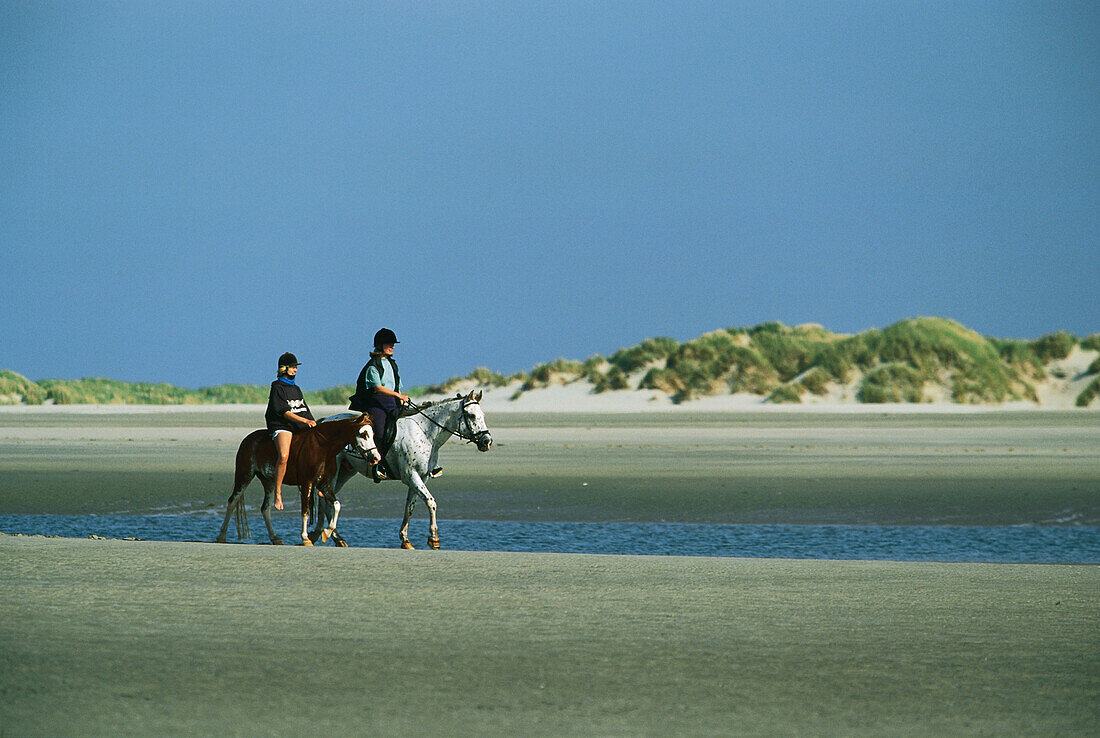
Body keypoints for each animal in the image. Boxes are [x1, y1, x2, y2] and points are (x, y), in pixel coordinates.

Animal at [212, 413, 380, 545]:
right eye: (363, 434)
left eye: (372, 434)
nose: (376, 457)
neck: (323, 447)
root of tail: (248, 439)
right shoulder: (307, 483)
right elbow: (305, 511)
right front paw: (305, 538)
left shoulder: (324, 484)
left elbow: (337, 505)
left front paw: (326, 532)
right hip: (244, 475)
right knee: (232, 501)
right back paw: (221, 536)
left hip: (268, 481)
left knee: (265, 508)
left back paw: (275, 538)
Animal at [323, 389, 492, 552]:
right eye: (471, 415)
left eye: (483, 416)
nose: (487, 441)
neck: (425, 433)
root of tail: (324, 421)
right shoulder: (411, 476)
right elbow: (431, 502)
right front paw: (434, 539)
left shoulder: (420, 478)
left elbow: (410, 507)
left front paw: (405, 540)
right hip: (334, 472)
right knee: (326, 500)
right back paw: (334, 536)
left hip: (345, 472)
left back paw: (334, 537)